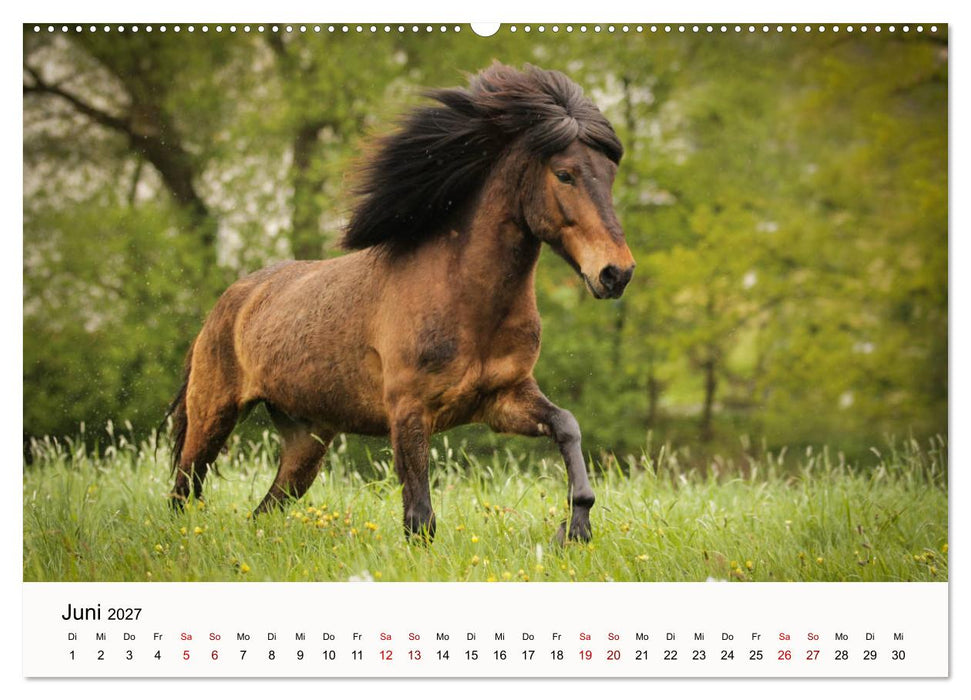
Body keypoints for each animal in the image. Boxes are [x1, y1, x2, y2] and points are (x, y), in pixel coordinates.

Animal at [166, 63, 635, 543]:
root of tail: (228, 303)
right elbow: (420, 516)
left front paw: (575, 526)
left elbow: (567, 426)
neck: (464, 300)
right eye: (565, 174)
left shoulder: (504, 399)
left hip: (305, 441)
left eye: (609, 175)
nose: (616, 273)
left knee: (263, 509)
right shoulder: (409, 411)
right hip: (213, 415)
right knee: (183, 490)